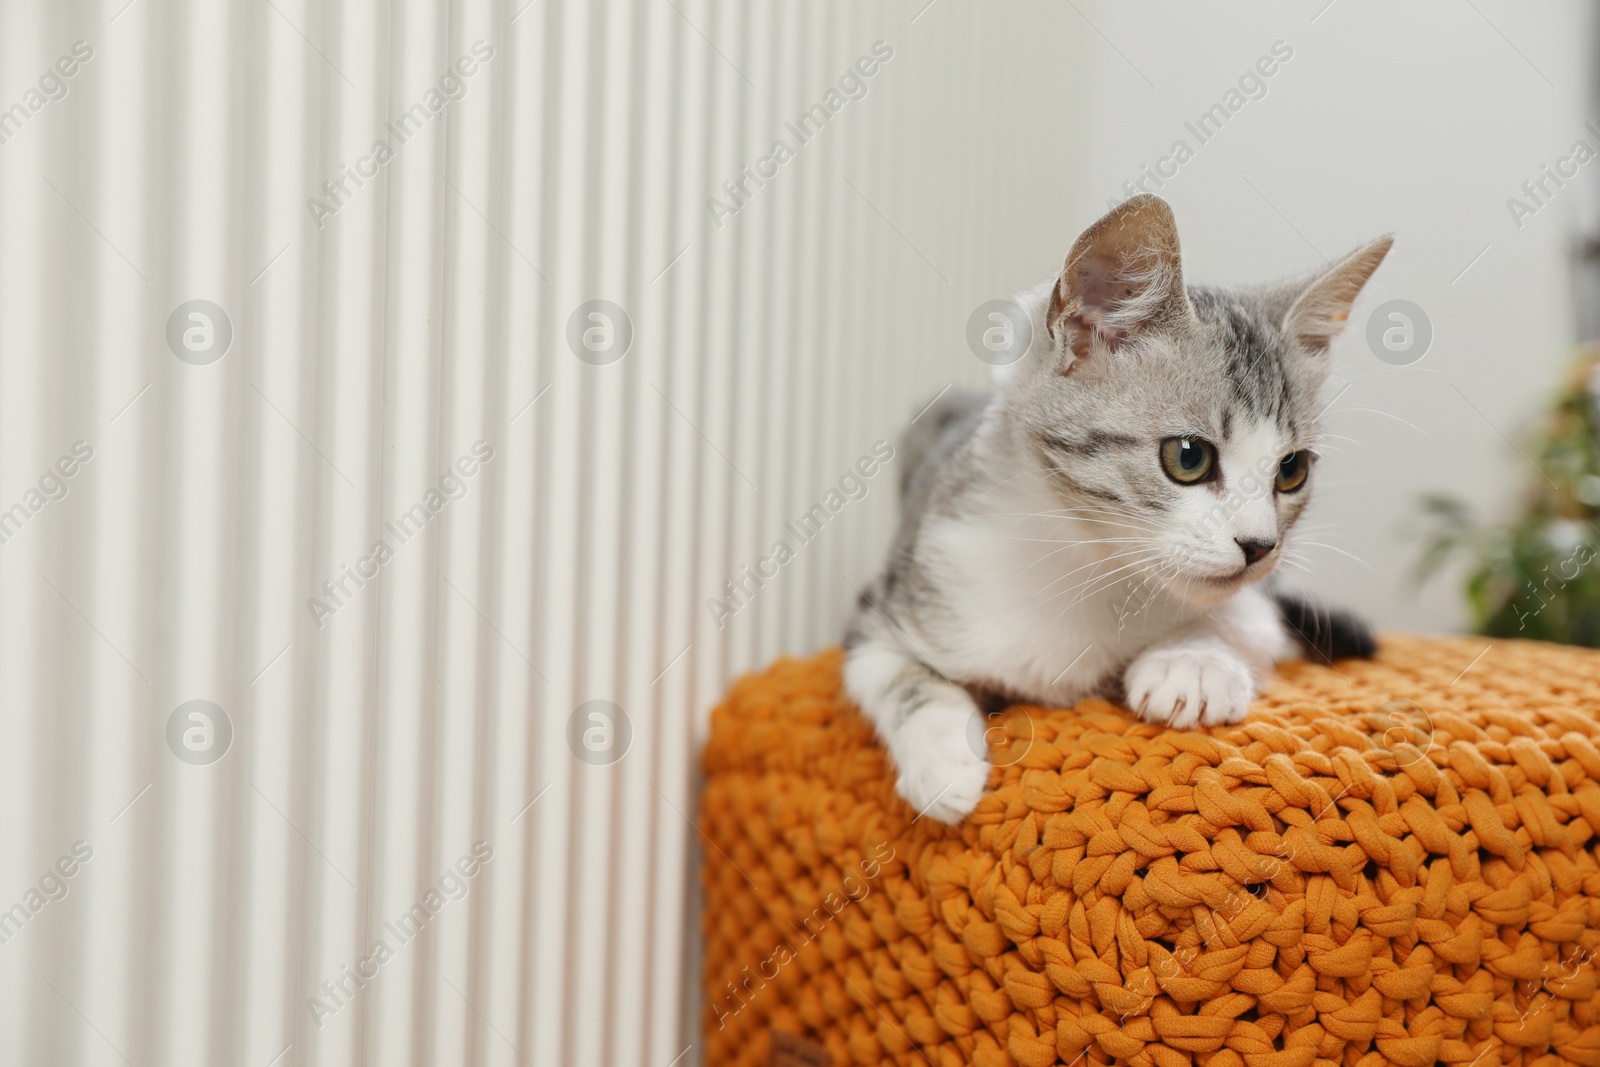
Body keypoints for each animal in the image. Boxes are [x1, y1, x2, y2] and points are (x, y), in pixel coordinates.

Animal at [851, 194, 1388, 825]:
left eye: (1291, 470)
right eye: (1188, 456)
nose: (1260, 546)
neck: (1086, 568)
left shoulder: (1256, 608)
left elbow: (1241, 620)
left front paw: (1192, 661)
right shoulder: (890, 601)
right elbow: (896, 676)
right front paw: (941, 765)